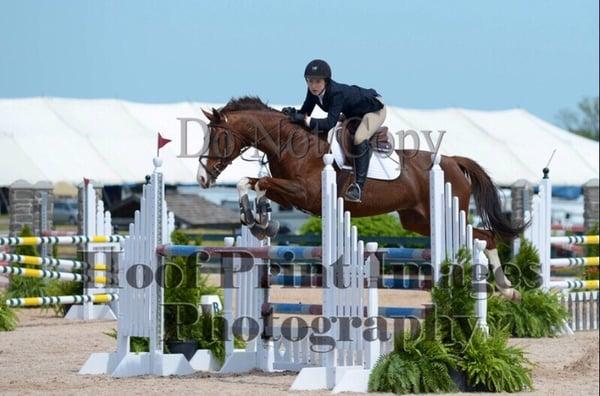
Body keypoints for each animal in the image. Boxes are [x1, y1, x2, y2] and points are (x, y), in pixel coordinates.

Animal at [198, 96, 524, 300]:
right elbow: (249, 183)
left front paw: (261, 221)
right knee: (483, 236)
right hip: (418, 221)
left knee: (486, 237)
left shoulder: (307, 193)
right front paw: (256, 220)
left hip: (445, 214)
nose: (203, 178)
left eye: (218, 137)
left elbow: (263, 182)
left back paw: (508, 289)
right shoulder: (291, 196)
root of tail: (453, 160)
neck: (291, 143)